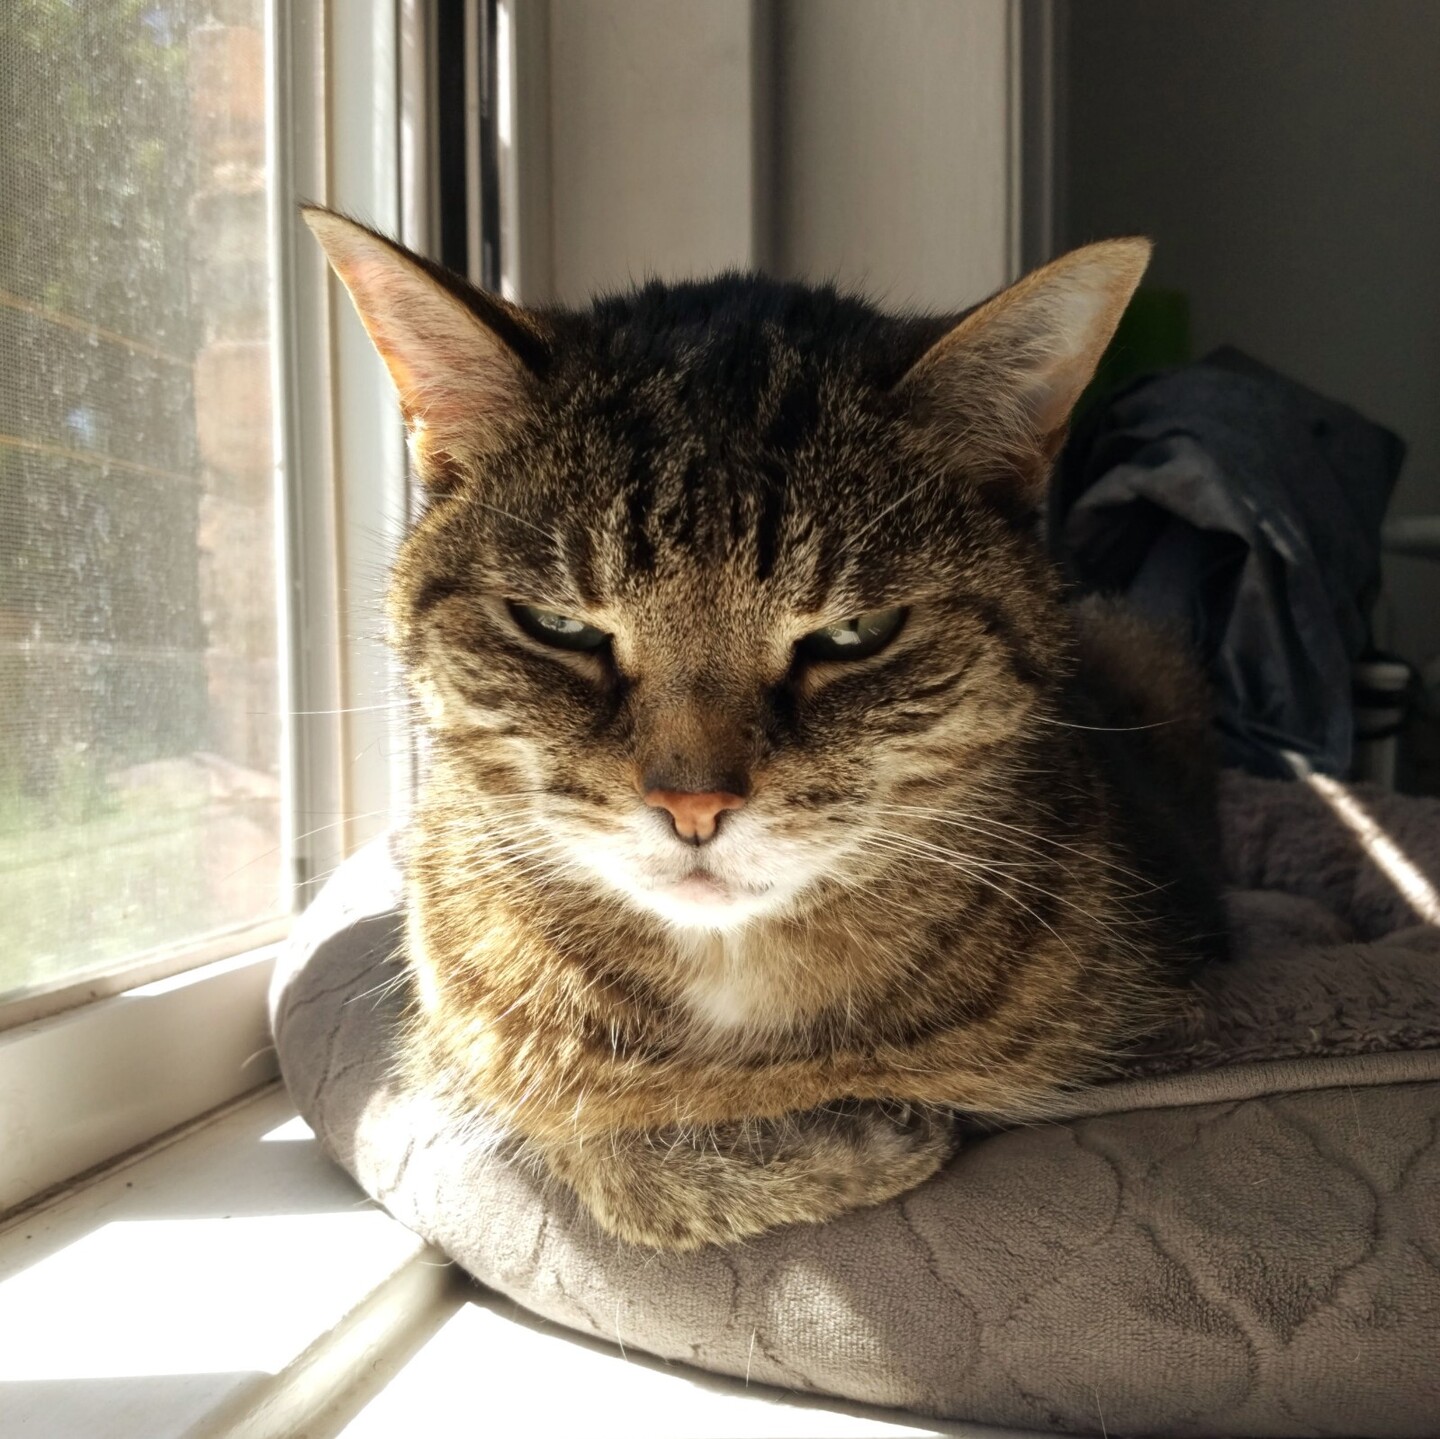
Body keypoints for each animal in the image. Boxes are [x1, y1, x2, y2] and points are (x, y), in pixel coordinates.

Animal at [309, 208, 1221, 1256]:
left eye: (855, 634)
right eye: (559, 627)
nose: (693, 803)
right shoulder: (459, 1052)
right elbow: (590, 1143)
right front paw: (844, 1139)